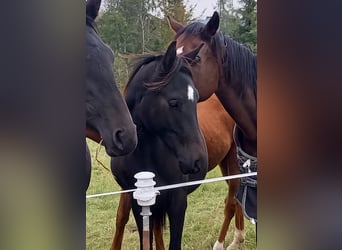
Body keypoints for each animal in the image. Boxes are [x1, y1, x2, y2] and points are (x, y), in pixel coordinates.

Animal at [111, 94, 244, 250]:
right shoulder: (130, 188)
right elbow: (122, 217)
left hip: (233, 162)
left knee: (231, 203)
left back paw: (221, 244)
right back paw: (238, 239)